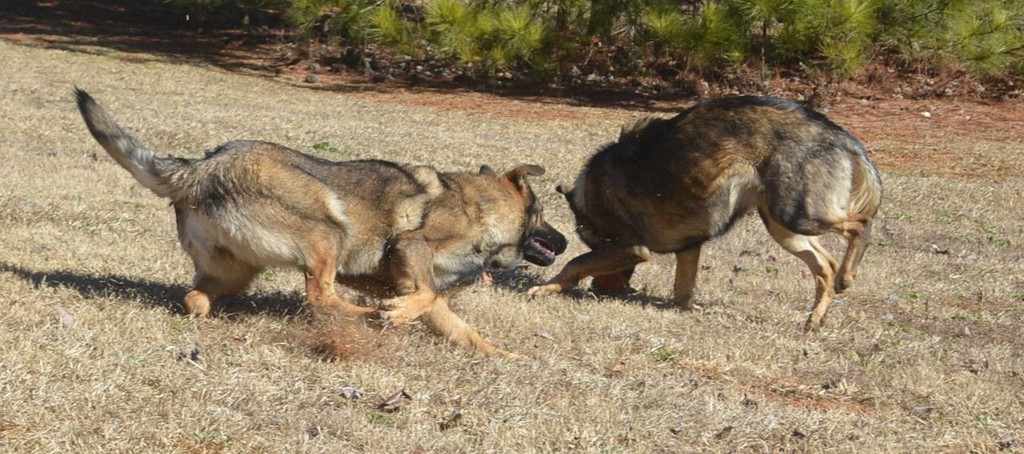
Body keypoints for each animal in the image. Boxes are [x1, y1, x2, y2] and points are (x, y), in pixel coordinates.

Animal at [74, 88, 567, 358]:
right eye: (544, 217)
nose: (564, 243)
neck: (480, 208)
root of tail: (200, 167)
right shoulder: (411, 247)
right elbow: (423, 295)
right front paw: (392, 313)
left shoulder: (426, 291)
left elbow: (460, 327)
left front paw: (505, 356)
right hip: (329, 230)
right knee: (321, 297)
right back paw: (367, 315)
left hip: (234, 271)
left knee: (194, 298)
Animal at [528, 96, 882, 331]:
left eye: (596, 243)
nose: (600, 289)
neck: (590, 193)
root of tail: (837, 134)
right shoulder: (689, 247)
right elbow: (682, 292)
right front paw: (683, 310)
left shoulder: (631, 248)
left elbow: (575, 264)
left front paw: (547, 288)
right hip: (784, 226)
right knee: (825, 266)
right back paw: (815, 318)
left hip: (798, 214)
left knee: (860, 226)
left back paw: (847, 276)